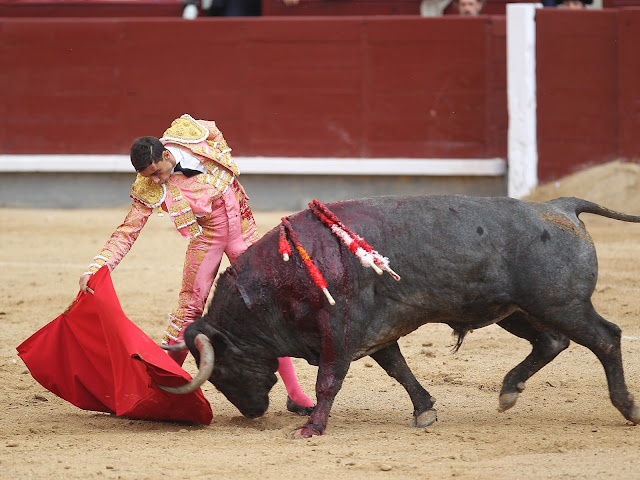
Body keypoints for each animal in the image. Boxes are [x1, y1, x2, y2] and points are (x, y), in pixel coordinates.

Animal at [159, 196, 640, 438]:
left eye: (221, 369)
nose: (253, 412)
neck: (284, 274)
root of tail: (559, 206)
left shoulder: (339, 330)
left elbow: (329, 379)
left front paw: (312, 427)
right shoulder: (375, 332)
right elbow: (398, 368)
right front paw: (424, 411)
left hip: (561, 304)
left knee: (605, 337)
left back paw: (628, 407)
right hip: (517, 310)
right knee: (552, 341)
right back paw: (509, 390)